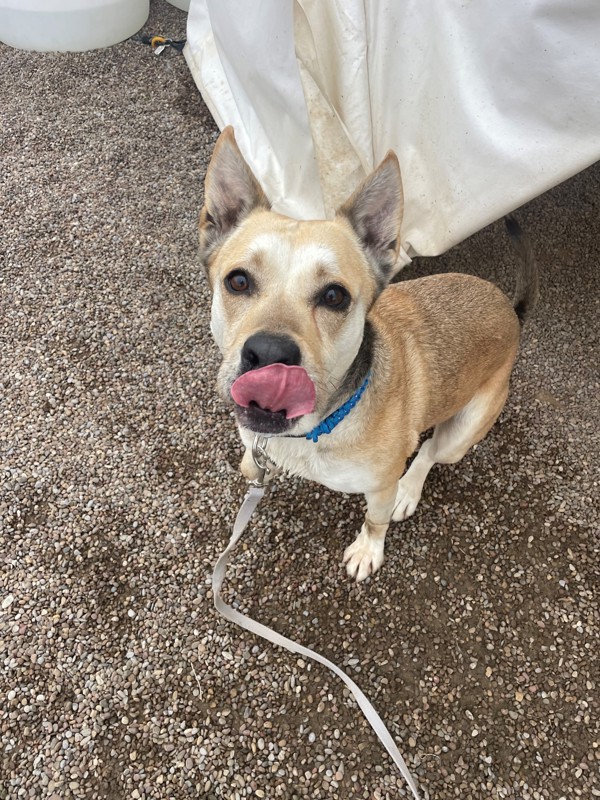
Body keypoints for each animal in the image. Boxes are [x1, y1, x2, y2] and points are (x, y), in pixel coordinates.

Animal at [198, 130, 540, 580]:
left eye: (334, 296)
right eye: (237, 281)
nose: (270, 353)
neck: (315, 429)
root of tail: (509, 309)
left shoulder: (378, 485)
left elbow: (375, 520)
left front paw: (367, 550)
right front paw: (250, 465)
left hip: (463, 433)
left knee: (429, 452)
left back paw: (408, 491)